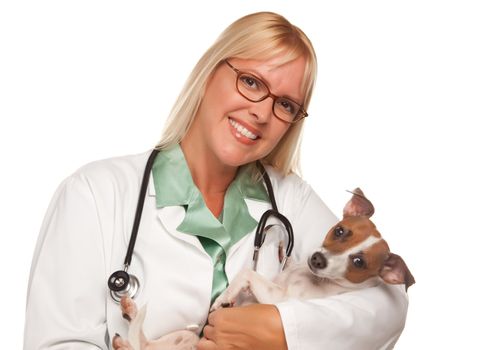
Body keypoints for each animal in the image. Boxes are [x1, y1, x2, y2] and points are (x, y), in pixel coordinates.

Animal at [112, 189, 412, 350]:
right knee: (142, 343)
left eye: (359, 262)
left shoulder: (278, 300)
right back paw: (129, 313)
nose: (317, 259)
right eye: (340, 230)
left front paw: (224, 298)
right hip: (183, 336)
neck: (310, 278)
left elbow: (247, 274)